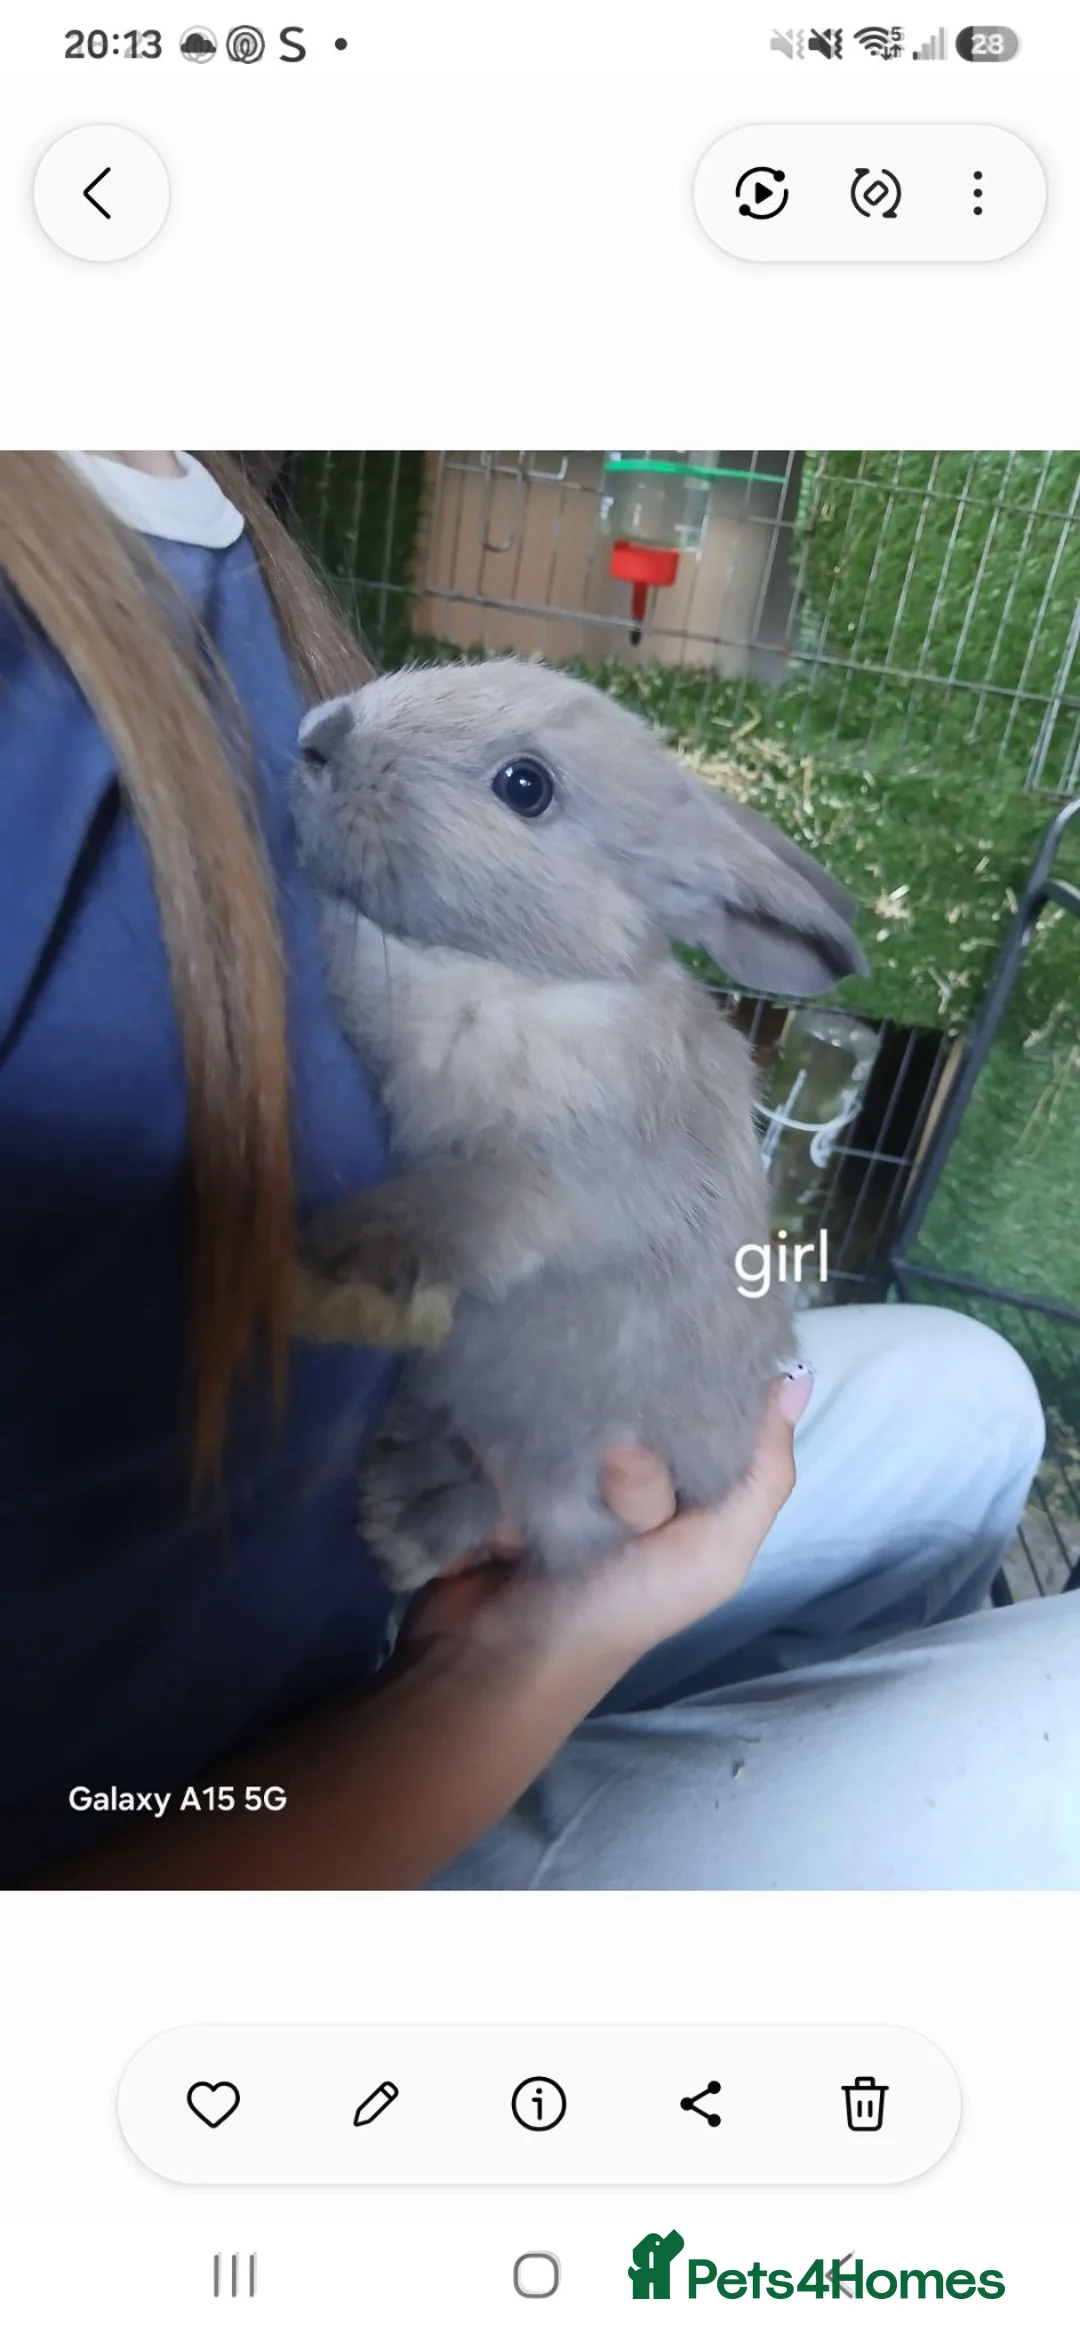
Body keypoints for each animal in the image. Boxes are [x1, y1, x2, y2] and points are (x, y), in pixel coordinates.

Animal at [290, 657, 867, 1589]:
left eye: (525, 786)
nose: (318, 738)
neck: (529, 972)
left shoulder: (548, 1183)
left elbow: (453, 1207)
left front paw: (343, 1254)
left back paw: (403, 1522)